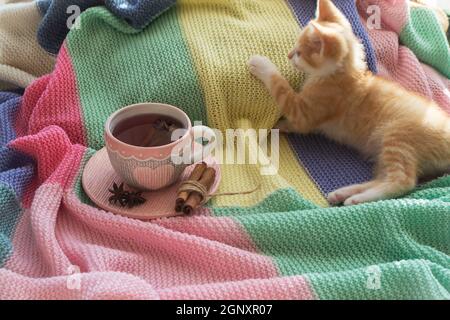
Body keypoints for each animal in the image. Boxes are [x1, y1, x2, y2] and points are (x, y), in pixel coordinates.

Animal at [248, 0, 450, 205]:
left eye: (299, 53)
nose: (289, 55)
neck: (340, 73)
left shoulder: (305, 112)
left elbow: (281, 87)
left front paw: (262, 65)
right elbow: (293, 124)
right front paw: (280, 125)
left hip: (398, 138)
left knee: (402, 181)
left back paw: (359, 199)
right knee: (382, 178)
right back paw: (346, 193)